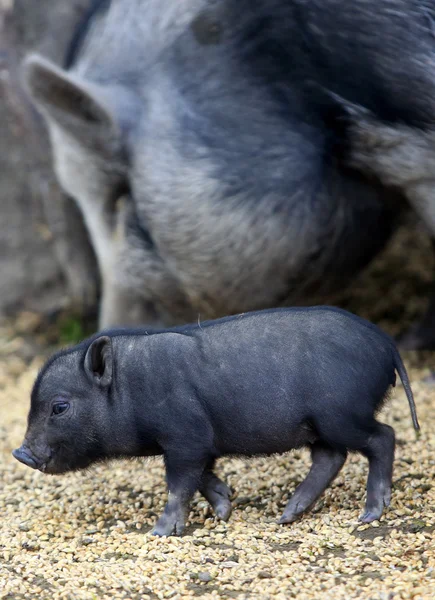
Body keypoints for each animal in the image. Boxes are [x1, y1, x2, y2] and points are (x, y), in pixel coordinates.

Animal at [13, 308, 420, 536]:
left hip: (341, 414)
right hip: (321, 424)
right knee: (330, 457)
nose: (21, 453)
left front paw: (160, 533)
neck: (130, 388)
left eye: (59, 407)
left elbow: (179, 482)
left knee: (383, 437)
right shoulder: (198, 442)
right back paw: (286, 517)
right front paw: (225, 508)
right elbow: (203, 474)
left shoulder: (185, 437)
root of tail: (386, 343)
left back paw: (369, 514)